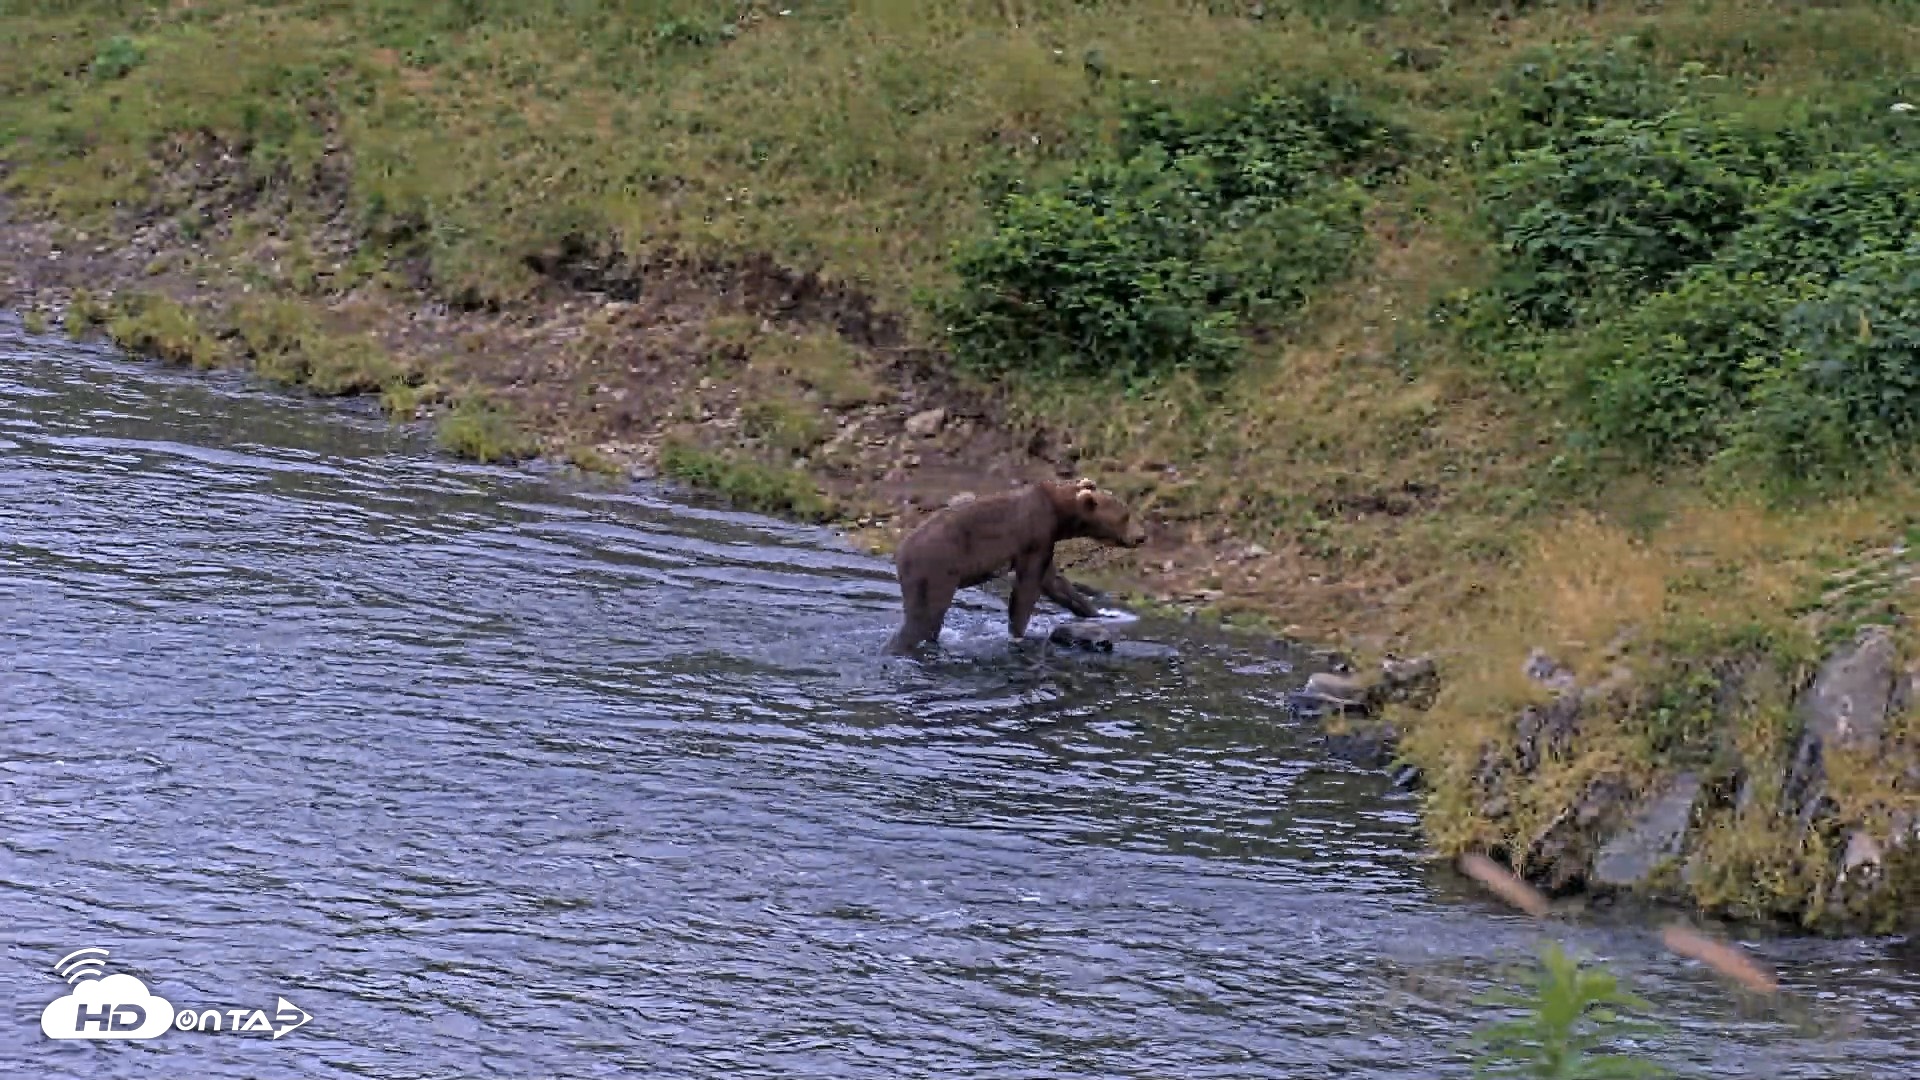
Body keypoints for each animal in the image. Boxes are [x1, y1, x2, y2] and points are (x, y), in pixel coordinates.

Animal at [884, 477, 1148, 655]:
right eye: (1125, 516)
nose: (1142, 536)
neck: (1058, 514)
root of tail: (901, 552)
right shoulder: (1034, 537)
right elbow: (1027, 587)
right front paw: (1018, 634)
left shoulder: (1044, 543)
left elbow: (1055, 583)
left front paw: (1104, 613)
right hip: (936, 570)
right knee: (925, 617)